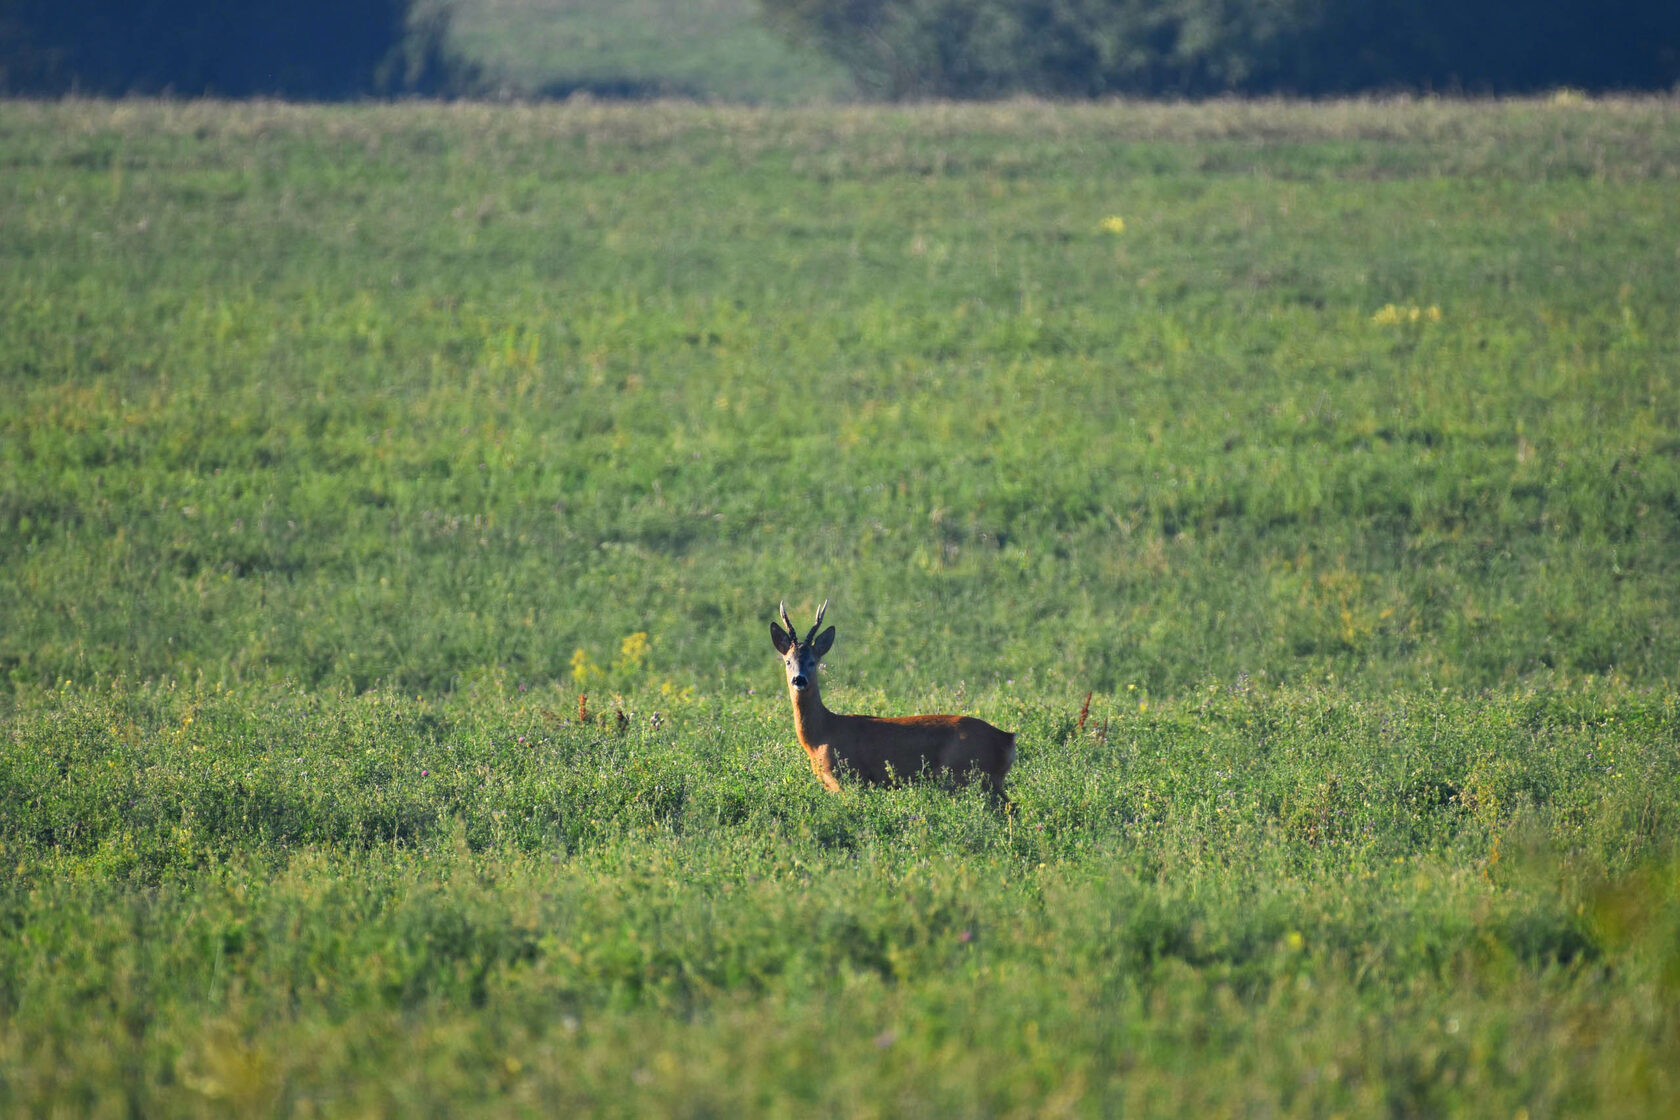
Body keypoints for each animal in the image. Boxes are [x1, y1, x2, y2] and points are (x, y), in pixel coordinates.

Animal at [769, 601, 1007, 802]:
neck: (821, 736)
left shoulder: (850, 779)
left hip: (969, 775)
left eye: (813, 661)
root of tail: (1006, 738)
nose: (799, 679)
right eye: (788, 661)